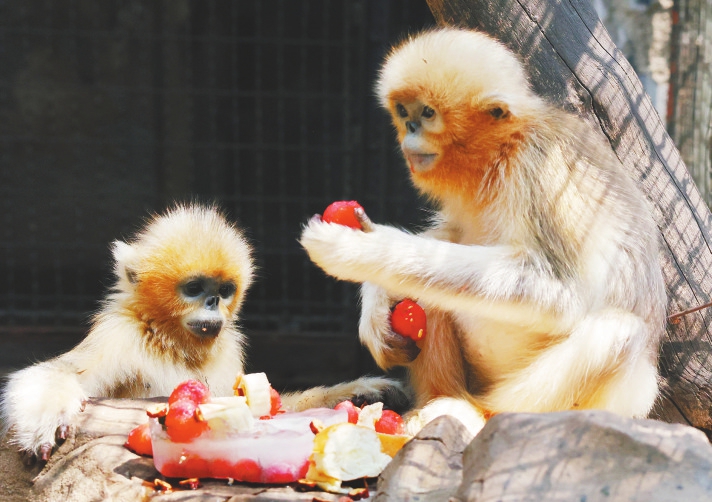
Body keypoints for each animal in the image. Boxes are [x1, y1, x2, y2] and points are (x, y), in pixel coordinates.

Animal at [1, 203, 400, 458]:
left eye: (223, 290)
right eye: (194, 289)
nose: (212, 303)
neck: (170, 340)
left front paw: (359, 394)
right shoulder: (120, 332)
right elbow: (61, 372)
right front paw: (44, 422)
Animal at [300, 27, 668, 436]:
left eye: (427, 114)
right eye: (404, 112)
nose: (409, 130)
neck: (502, 153)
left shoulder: (543, 169)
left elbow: (563, 294)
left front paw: (360, 250)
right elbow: (446, 236)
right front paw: (376, 304)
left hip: (620, 399)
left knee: (616, 332)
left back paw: (482, 415)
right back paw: (438, 402)